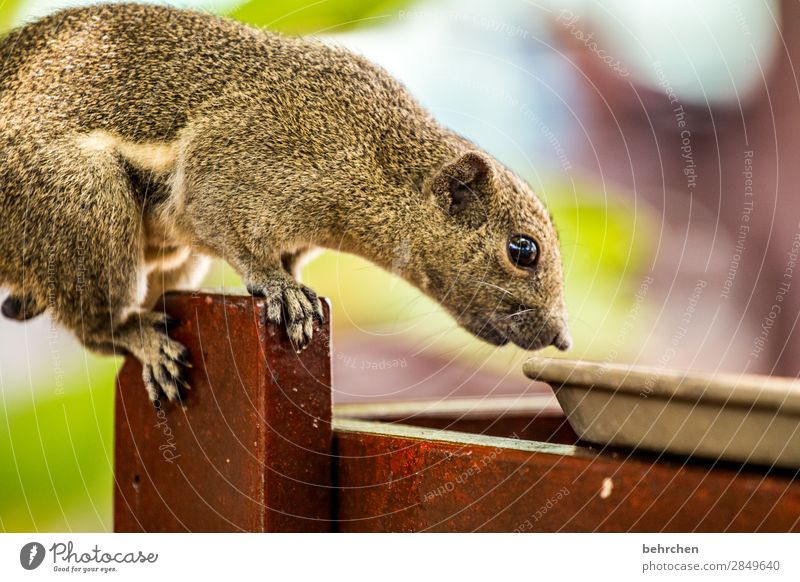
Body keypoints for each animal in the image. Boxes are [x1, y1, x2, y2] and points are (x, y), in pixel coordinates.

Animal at [3, 4, 572, 404]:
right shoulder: (239, 163)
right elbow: (225, 222)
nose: (562, 338)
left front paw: (292, 281)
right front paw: (281, 290)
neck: (375, 161)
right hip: (82, 203)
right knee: (96, 326)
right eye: (523, 250)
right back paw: (139, 336)